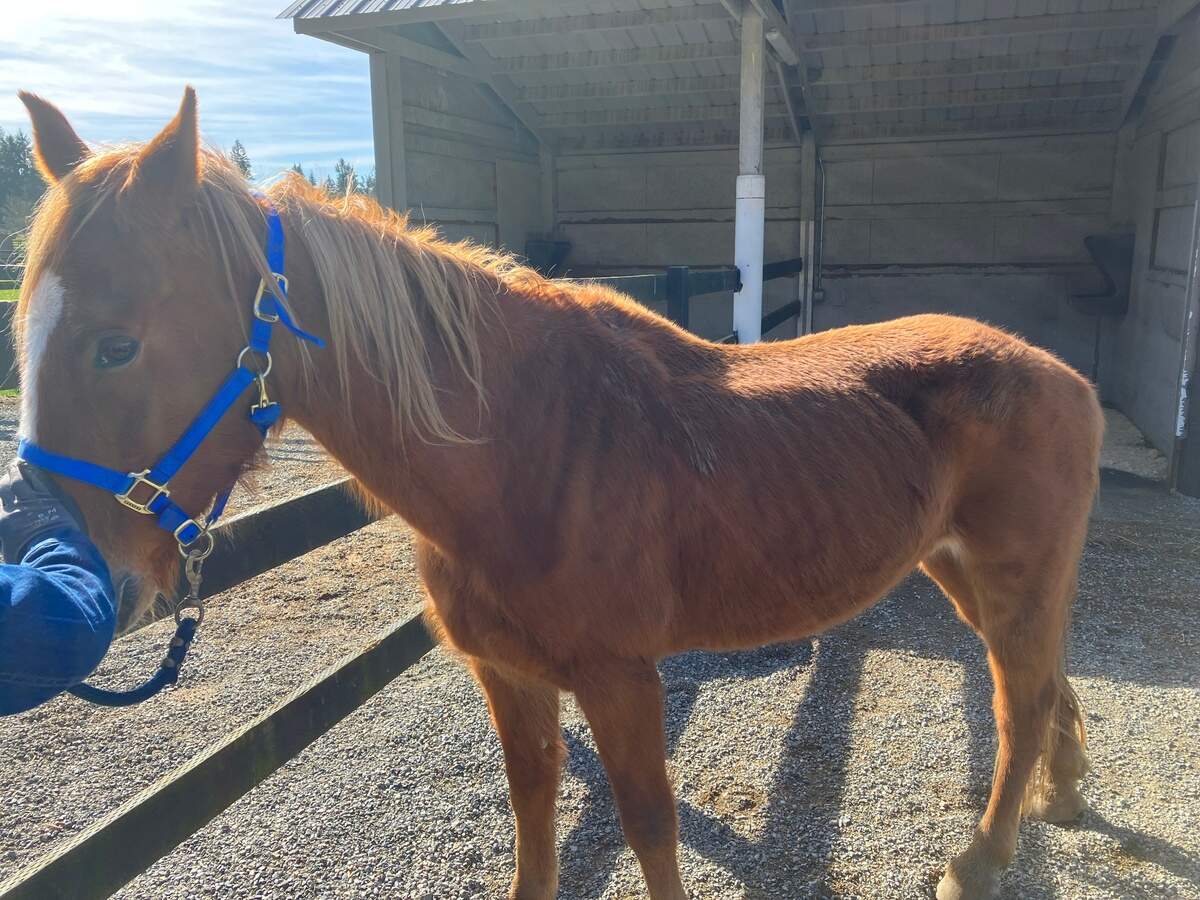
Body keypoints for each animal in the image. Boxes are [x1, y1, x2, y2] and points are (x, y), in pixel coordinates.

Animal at [15, 88, 1100, 900]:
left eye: (116, 344)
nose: (92, 574)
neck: (525, 455)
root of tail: (1062, 375)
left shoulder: (620, 679)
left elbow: (649, 825)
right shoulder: (509, 677)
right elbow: (533, 813)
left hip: (1009, 577)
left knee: (1017, 699)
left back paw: (981, 861)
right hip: (960, 570)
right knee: (1044, 683)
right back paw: (1062, 798)